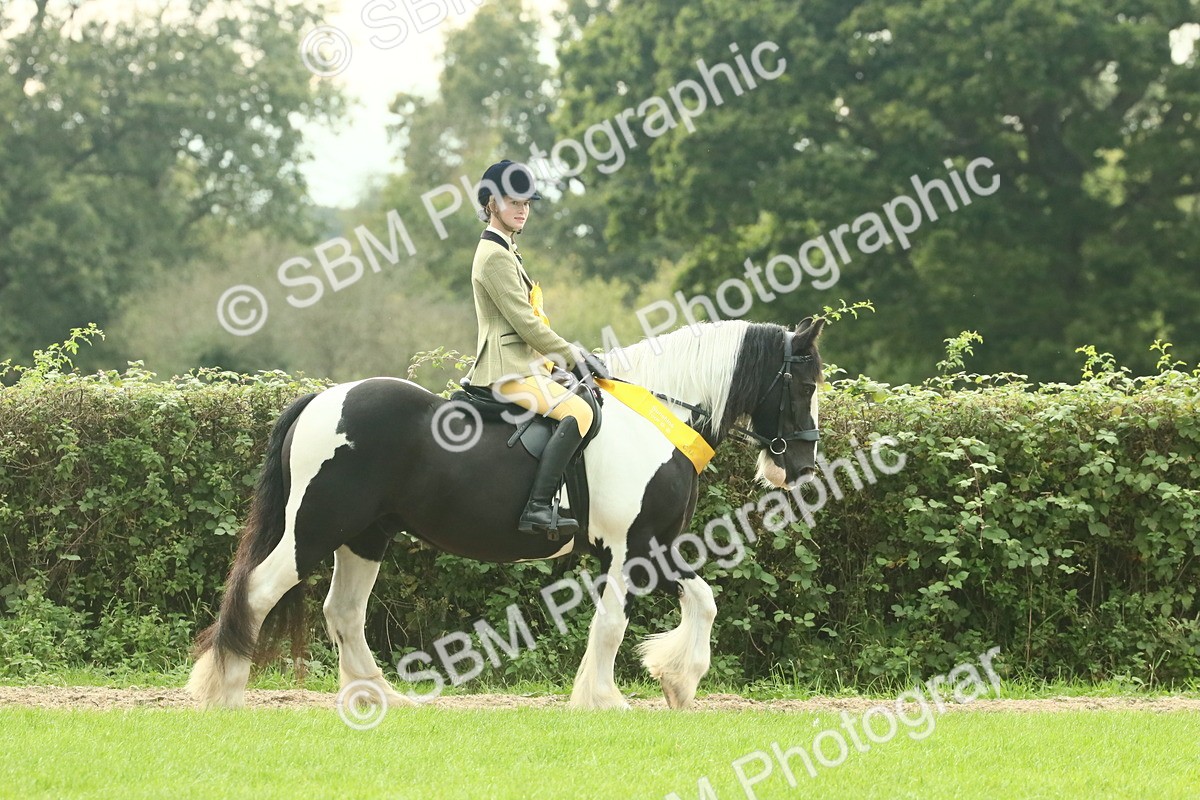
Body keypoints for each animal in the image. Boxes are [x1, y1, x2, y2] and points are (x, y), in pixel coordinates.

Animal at [187, 317, 825, 710]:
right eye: (804, 384)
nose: (803, 466)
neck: (658, 416)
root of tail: (323, 397)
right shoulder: (631, 547)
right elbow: (613, 624)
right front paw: (605, 699)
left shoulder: (656, 548)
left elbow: (702, 600)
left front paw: (678, 684)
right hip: (316, 528)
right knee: (258, 592)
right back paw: (227, 692)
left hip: (365, 535)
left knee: (343, 612)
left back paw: (377, 697)